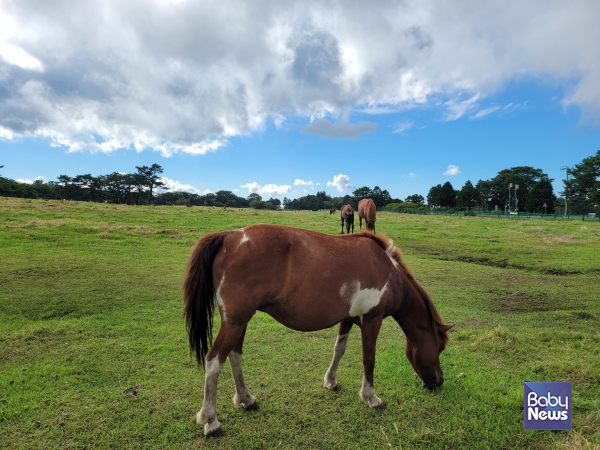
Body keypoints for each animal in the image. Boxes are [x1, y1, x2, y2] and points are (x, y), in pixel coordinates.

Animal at [185, 224, 452, 436]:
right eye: (440, 347)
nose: (439, 381)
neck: (388, 270)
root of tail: (229, 236)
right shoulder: (372, 320)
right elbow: (369, 359)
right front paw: (371, 397)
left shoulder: (348, 319)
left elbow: (339, 349)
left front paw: (330, 382)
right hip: (235, 322)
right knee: (213, 361)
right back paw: (211, 421)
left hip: (240, 321)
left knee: (234, 356)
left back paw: (246, 399)